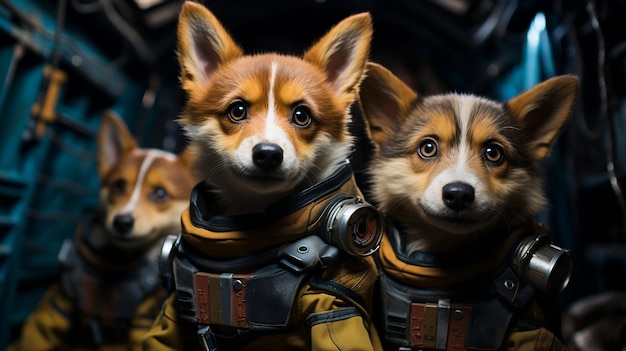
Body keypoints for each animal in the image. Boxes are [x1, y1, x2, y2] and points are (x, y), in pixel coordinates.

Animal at [6, 111, 197, 351]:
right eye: (118, 186)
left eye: (160, 193)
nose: (122, 222)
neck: (116, 262)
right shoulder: (59, 301)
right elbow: (35, 335)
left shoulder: (144, 319)